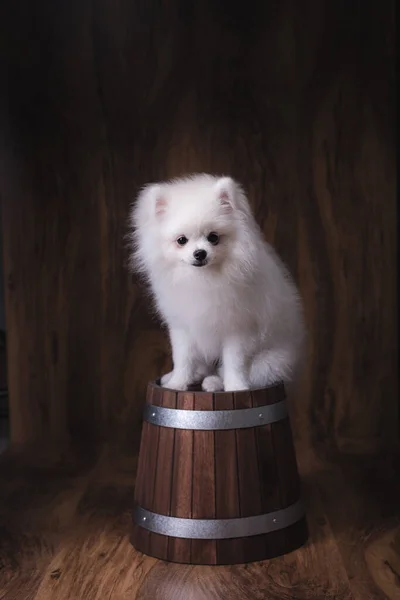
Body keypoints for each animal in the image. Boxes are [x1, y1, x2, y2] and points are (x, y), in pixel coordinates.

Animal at [130, 172, 304, 394]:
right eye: (181, 240)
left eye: (213, 237)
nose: (200, 253)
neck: (203, 278)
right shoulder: (183, 327)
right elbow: (183, 359)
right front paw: (177, 383)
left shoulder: (237, 329)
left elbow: (234, 362)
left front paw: (236, 387)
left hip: (269, 361)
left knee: (250, 373)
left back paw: (214, 382)